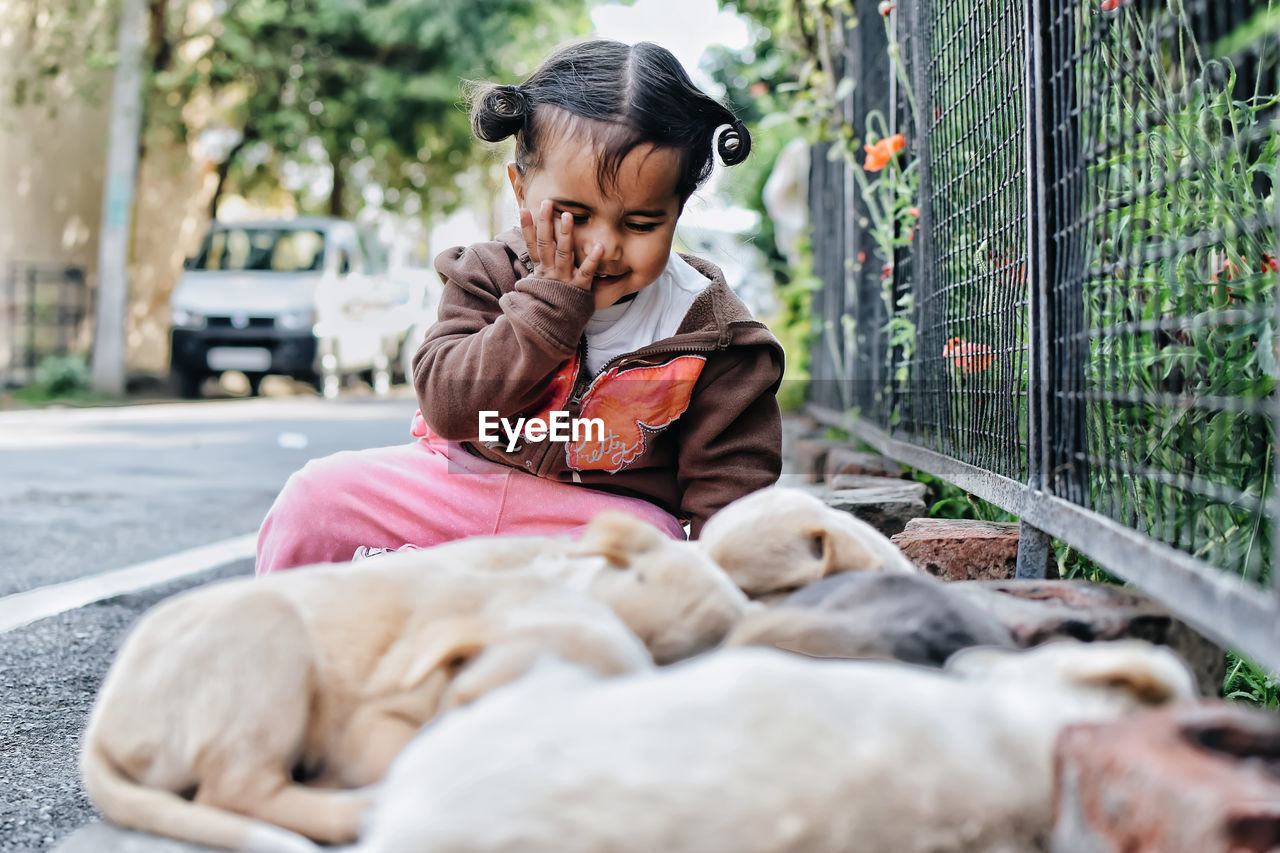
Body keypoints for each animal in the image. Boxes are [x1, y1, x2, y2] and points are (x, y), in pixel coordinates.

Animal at [80, 555, 650, 845]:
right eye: (461, 701)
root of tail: (101, 725)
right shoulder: (371, 720)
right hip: (267, 625)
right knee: (234, 793)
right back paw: (357, 807)